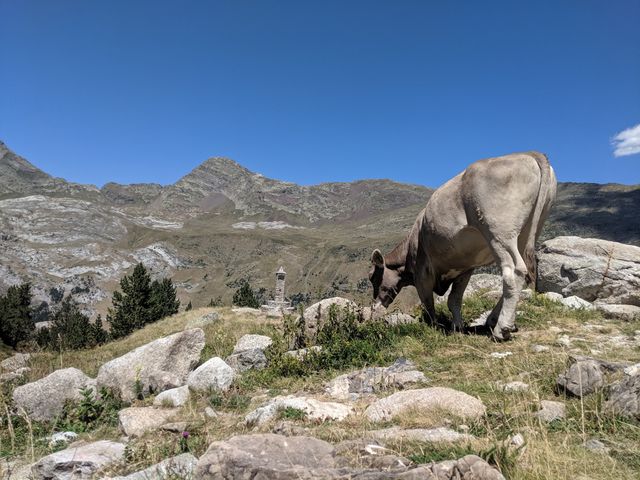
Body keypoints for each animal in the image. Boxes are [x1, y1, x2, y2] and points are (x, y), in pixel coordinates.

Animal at [370, 152, 556, 340]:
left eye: (372, 277)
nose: (373, 305)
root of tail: (528, 153)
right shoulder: (465, 267)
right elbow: (454, 299)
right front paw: (457, 327)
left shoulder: (422, 271)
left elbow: (428, 303)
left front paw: (434, 327)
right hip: (528, 231)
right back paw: (494, 320)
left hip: (499, 232)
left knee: (514, 272)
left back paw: (501, 329)